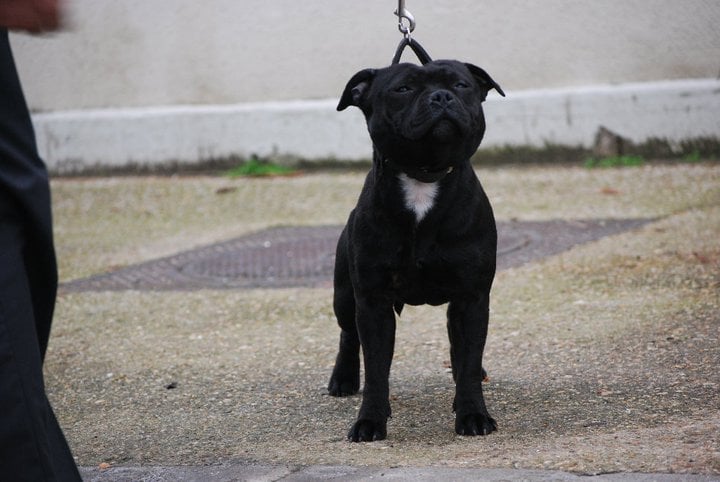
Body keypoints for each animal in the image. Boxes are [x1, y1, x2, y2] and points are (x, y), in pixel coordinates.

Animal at [328, 58, 504, 442]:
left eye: (461, 85)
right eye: (403, 89)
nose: (441, 96)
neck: (424, 178)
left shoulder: (471, 298)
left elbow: (469, 357)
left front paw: (472, 414)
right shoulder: (372, 302)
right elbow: (376, 369)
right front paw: (370, 421)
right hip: (344, 295)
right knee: (348, 334)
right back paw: (343, 379)